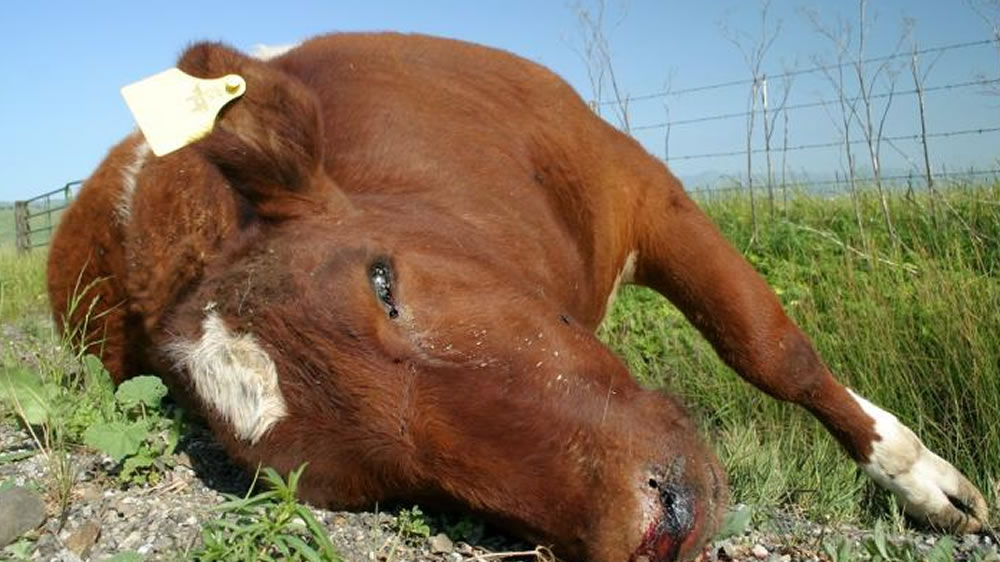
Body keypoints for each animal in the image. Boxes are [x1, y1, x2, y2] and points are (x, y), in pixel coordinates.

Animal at [47, 32, 984, 556]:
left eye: (383, 283)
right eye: (372, 483)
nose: (655, 525)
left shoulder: (642, 186)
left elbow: (766, 346)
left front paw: (923, 481)